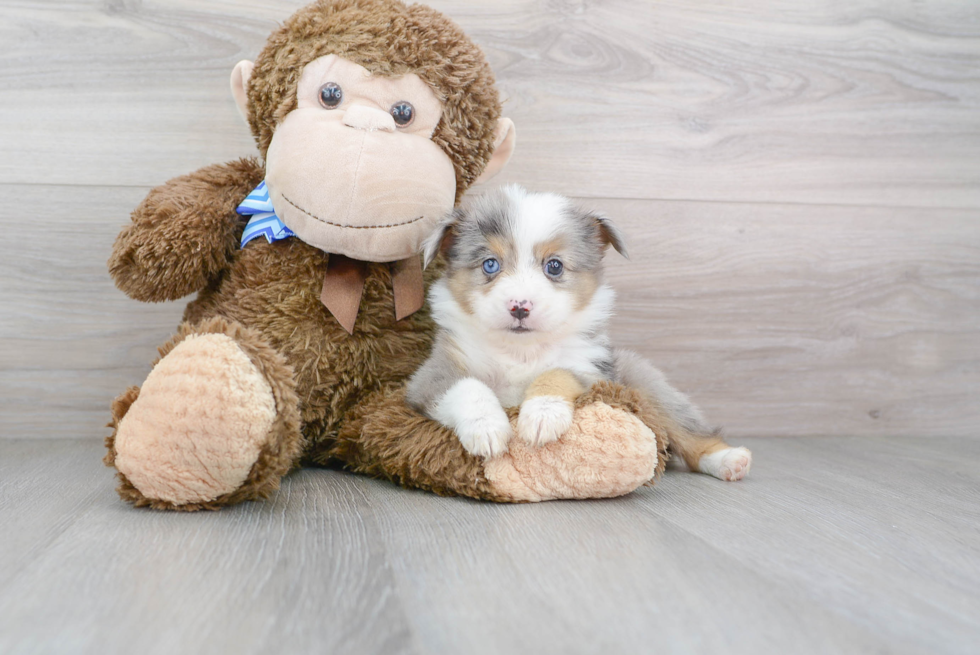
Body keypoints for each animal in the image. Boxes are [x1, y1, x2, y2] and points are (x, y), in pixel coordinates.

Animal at [406, 184, 752, 482]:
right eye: (490, 264)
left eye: (555, 266)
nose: (520, 307)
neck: (522, 350)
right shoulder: (430, 376)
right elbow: (468, 387)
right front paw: (487, 428)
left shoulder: (593, 372)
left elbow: (558, 373)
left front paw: (541, 415)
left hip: (646, 385)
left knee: (692, 433)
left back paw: (729, 460)